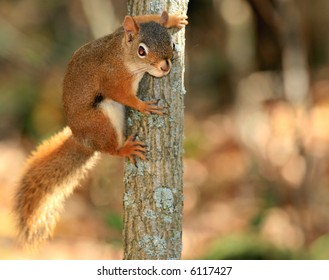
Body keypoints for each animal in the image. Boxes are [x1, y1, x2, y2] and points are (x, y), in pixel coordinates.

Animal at [14, 11, 187, 247]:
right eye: (142, 51)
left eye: (171, 43)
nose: (165, 67)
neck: (121, 53)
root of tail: (83, 140)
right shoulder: (113, 79)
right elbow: (123, 95)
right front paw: (144, 106)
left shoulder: (118, 31)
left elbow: (136, 19)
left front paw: (171, 19)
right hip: (102, 120)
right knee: (110, 148)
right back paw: (125, 149)